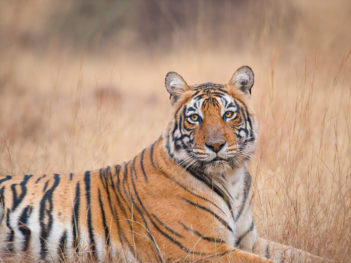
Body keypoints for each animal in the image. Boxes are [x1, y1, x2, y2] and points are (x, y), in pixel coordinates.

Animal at [0, 67, 332, 262]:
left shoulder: (248, 238)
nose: (215, 146)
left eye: (228, 115)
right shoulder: (203, 249)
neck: (231, 177)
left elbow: (301, 255)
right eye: (195, 117)